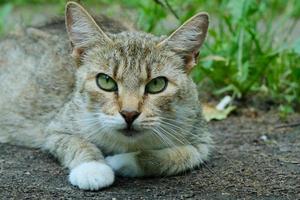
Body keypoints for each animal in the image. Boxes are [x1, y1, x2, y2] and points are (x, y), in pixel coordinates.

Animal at [0, 0, 212, 190]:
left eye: (157, 84)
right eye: (106, 81)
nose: (129, 114)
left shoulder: (201, 142)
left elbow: (177, 156)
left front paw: (123, 161)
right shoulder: (56, 129)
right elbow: (77, 143)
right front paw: (92, 167)